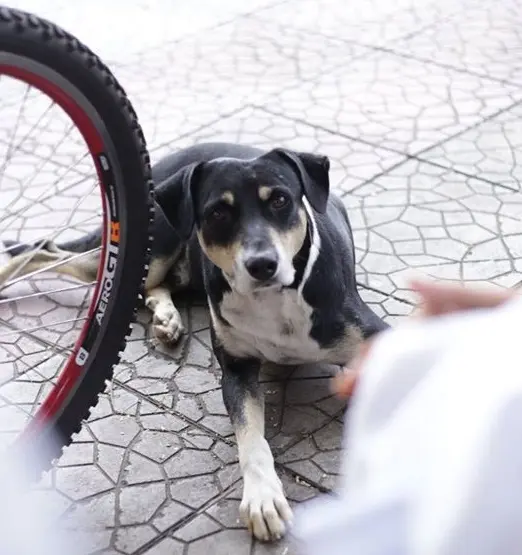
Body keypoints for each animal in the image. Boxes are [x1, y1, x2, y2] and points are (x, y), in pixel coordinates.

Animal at [0, 143, 386, 544]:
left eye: (280, 200)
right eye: (217, 212)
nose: (261, 264)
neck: (275, 298)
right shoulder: (236, 372)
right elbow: (251, 439)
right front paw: (263, 498)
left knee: (142, 283)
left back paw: (167, 318)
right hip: (146, 250)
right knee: (49, 252)